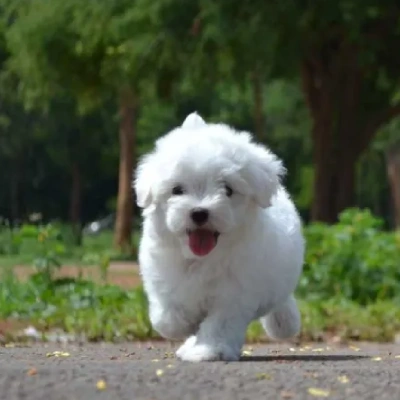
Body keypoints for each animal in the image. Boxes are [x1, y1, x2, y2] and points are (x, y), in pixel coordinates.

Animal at [136, 113, 304, 362]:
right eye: (177, 190)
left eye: (227, 190)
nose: (199, 212)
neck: (204, 258)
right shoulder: (162, 275)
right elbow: (167, 316)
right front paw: (185, 327)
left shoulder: (234, 294)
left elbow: (219, 324)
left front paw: (208, 350)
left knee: (280, 299)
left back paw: (284, 324)